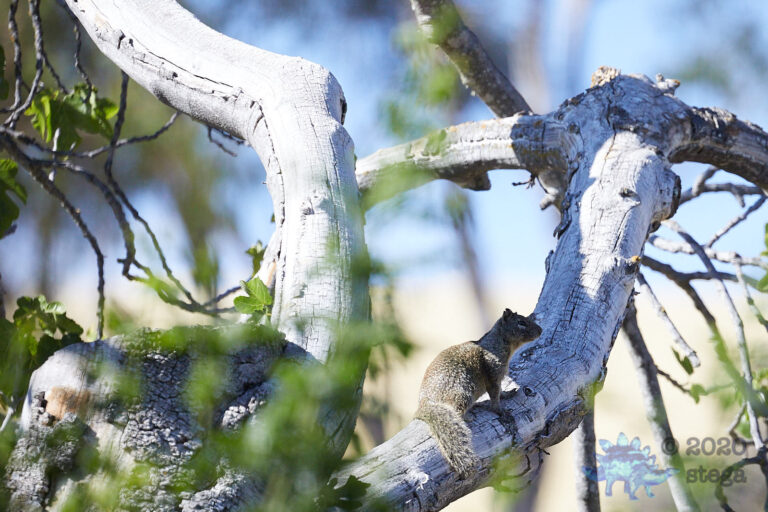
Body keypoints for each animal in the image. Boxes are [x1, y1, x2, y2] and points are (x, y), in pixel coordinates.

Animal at [414, 309, 542, 477]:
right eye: (521, 322)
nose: (540, 330)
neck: (499, 343)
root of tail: (425, 401)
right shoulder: (493, 372)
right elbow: (494, 395)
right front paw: (500, 410)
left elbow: (500, 392)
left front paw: (508, 394)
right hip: (463, 390)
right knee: (455, 408)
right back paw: (467, 415)